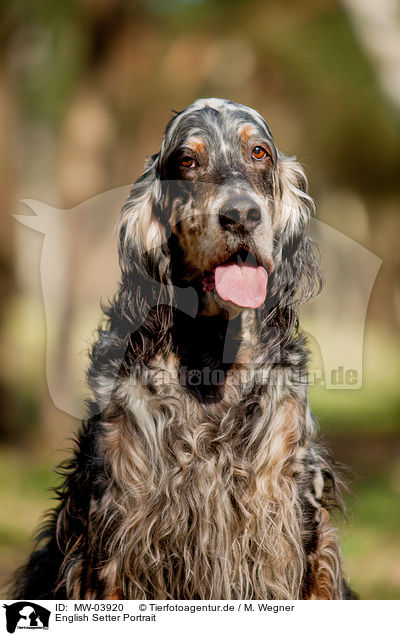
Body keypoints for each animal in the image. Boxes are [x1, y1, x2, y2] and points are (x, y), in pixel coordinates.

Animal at [12, 97, 354, 600]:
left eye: (259, 152)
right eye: (188, 161)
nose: (241, 216)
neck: (210, 362)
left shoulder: (296, 520)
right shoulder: (113, 527)